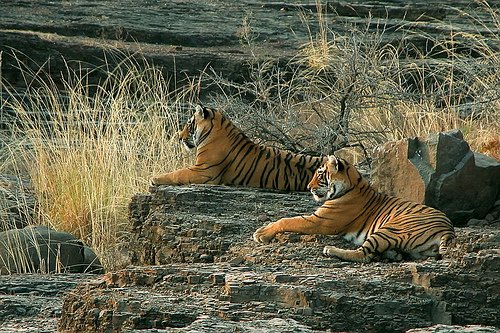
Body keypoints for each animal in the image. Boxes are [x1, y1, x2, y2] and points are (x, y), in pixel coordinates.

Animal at [254, 154, 458, 260]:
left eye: (319, 174)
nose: (308, 187)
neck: (353, 184)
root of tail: (448, 229)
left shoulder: (321, 221)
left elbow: (287, 220)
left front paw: (261, 233)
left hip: (391, 229)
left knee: (363, 255)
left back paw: (331, 250)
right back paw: (394, 254)